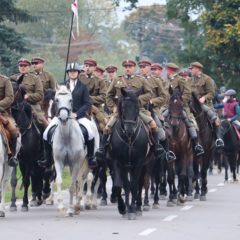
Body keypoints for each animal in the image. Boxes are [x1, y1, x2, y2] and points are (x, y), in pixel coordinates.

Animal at [10, 80, 44, 210]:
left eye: (15, 89)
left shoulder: (29, 159)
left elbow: (26, 181)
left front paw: (24, 203)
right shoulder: (15, 159)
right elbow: (14, 180)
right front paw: (13, 204)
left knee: (40, 174)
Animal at [50, 86, 99, 216]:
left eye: (70, 100)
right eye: (57, 100)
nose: (63, 118)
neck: (66, 136)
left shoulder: (76, 163)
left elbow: (72, 185)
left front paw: (71, 209)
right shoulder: (59, 162)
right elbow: (59, 181)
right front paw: (61, 206)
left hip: (86, 162)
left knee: (83, 179)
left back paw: (80, 204)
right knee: (79, 180)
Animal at [109, 88, 150, 219]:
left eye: (137, 106)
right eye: (123, 106)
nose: (129, 130)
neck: (129, 139)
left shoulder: (139, 162)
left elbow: (134, 186)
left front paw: (132, 210)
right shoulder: (118, 162)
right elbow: (121, 186)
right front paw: (123, 208)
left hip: (144, 165)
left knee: (140, 183)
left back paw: (137, 207)